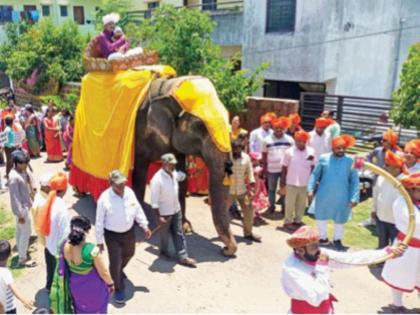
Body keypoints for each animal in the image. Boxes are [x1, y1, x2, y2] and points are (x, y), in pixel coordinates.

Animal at [133, 76, 238, 256]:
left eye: (228, 118)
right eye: (200, 127)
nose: (224, 249)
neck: (168, 87)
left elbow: (181, 178)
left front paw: (185, 226)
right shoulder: (140, 133)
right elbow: (139, 172)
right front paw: (140, 224)